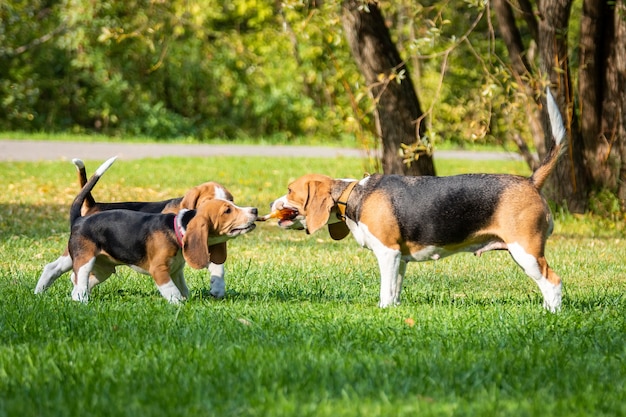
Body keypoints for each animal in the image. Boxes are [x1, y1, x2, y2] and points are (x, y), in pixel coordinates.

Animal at [37, 158, 236, 298]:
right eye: (208, 202)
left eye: (230, 201)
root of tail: (93, 205)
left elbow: (217, 266)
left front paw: (217, 288)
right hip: (78, 253)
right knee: (60, 270)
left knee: (69, 273)